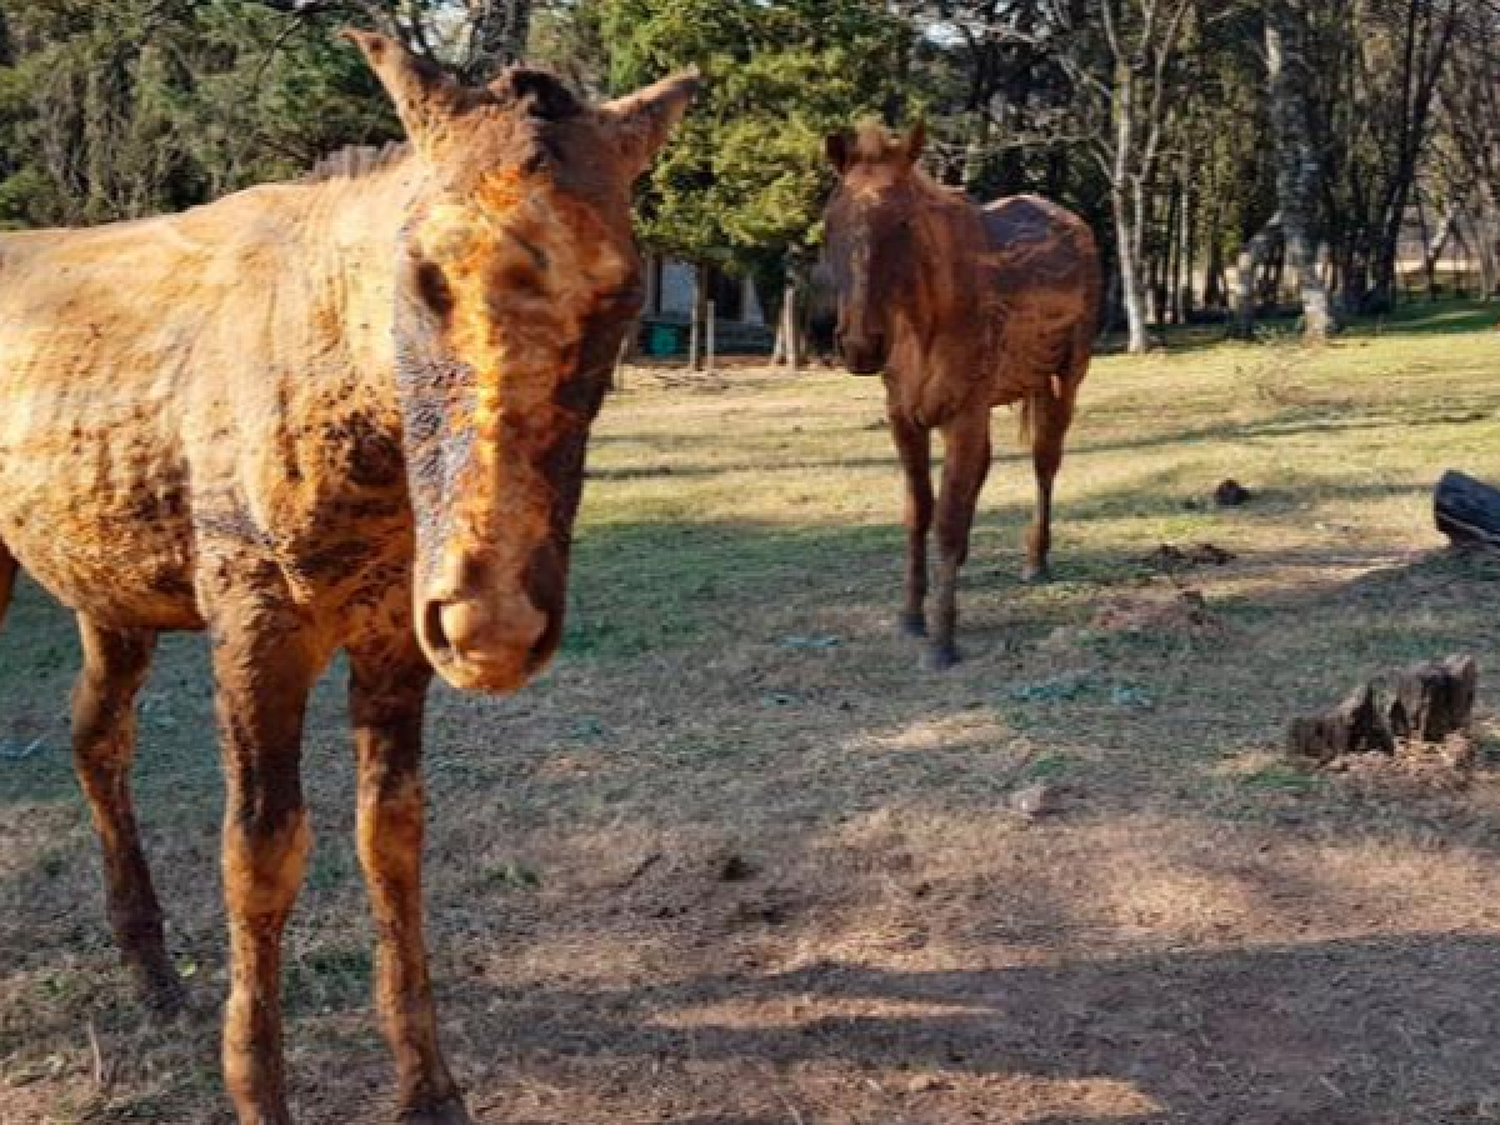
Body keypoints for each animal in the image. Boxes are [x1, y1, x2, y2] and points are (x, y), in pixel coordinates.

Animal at [0, 30, 699, 1122]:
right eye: (422, 273)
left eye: (624, 290)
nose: (493, 622)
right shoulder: (255, 618)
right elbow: (261, 851)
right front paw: (257, 1086)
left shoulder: (391, 634)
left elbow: (392, 837)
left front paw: (431, 1085)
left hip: (109, 593)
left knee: (94, 736)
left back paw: (151, 972)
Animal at [822, 123, 1104, 669]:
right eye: (831, 220)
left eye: (904, 222)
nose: (860, 346)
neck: (925, 322)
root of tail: (1071, 222)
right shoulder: (904, 418)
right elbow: (920, 513)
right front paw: (912, 614)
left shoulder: (964, 413)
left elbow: (948, 520)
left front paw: (941, 641)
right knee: (986, 470)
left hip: (1065, 379)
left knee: (1045, 464)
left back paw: (1036, 558)